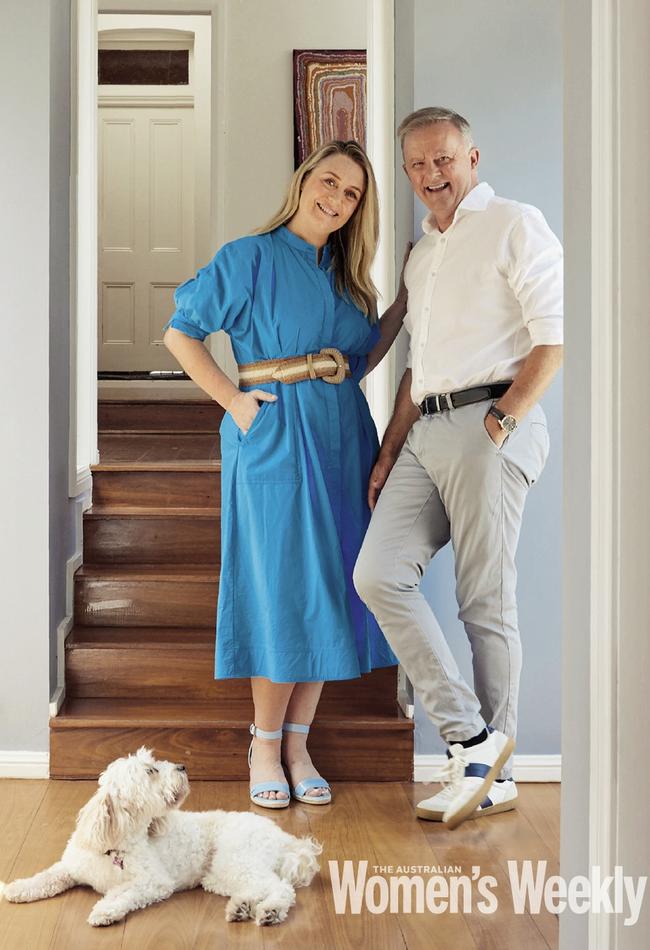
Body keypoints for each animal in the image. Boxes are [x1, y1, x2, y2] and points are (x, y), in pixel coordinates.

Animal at [1, 748, 322, 924]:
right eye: (151, 770)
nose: (182, 766)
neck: (116, 847)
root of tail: (284, 838)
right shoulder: (71, 866)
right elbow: (46, 877)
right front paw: (17, 888)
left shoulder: (154, 882)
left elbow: (123, 893)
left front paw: (106, 911)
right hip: (220, 874)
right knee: (257, 886)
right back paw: (242, 907)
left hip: (236, 858)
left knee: (281, 888)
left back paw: (270, 912)